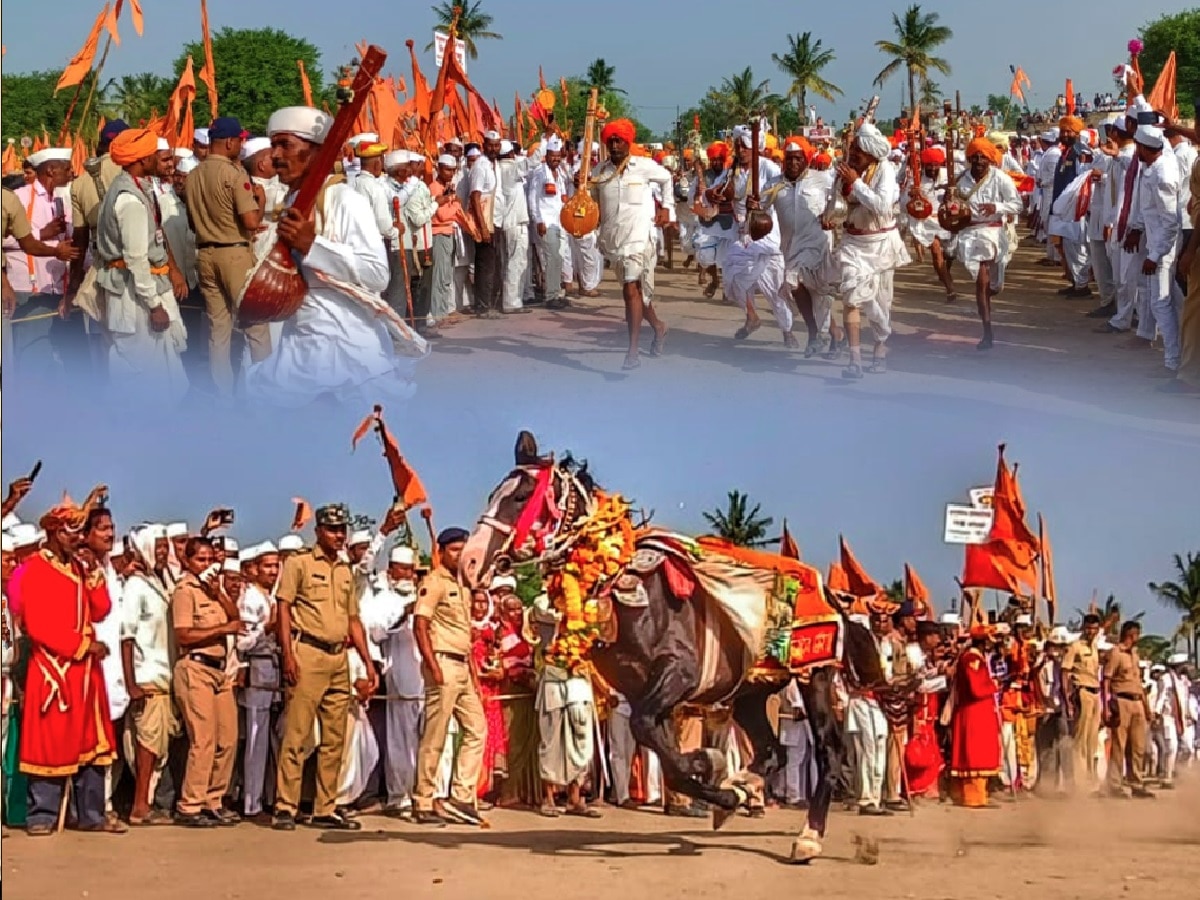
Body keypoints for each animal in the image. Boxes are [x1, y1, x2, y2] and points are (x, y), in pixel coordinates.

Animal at [458, 434, 892, 864]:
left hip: (811, 675)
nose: (470, 561)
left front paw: (713, 772)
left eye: (521, 496)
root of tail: (828, 593)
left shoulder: (676, 676)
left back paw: (808, 836)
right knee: (773, 751)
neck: (617, 585)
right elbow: (665, 757)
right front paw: (718, 781)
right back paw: (743, 789)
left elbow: (658, 743)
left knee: (829, 752)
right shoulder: (644, 694)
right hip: (751, 688)